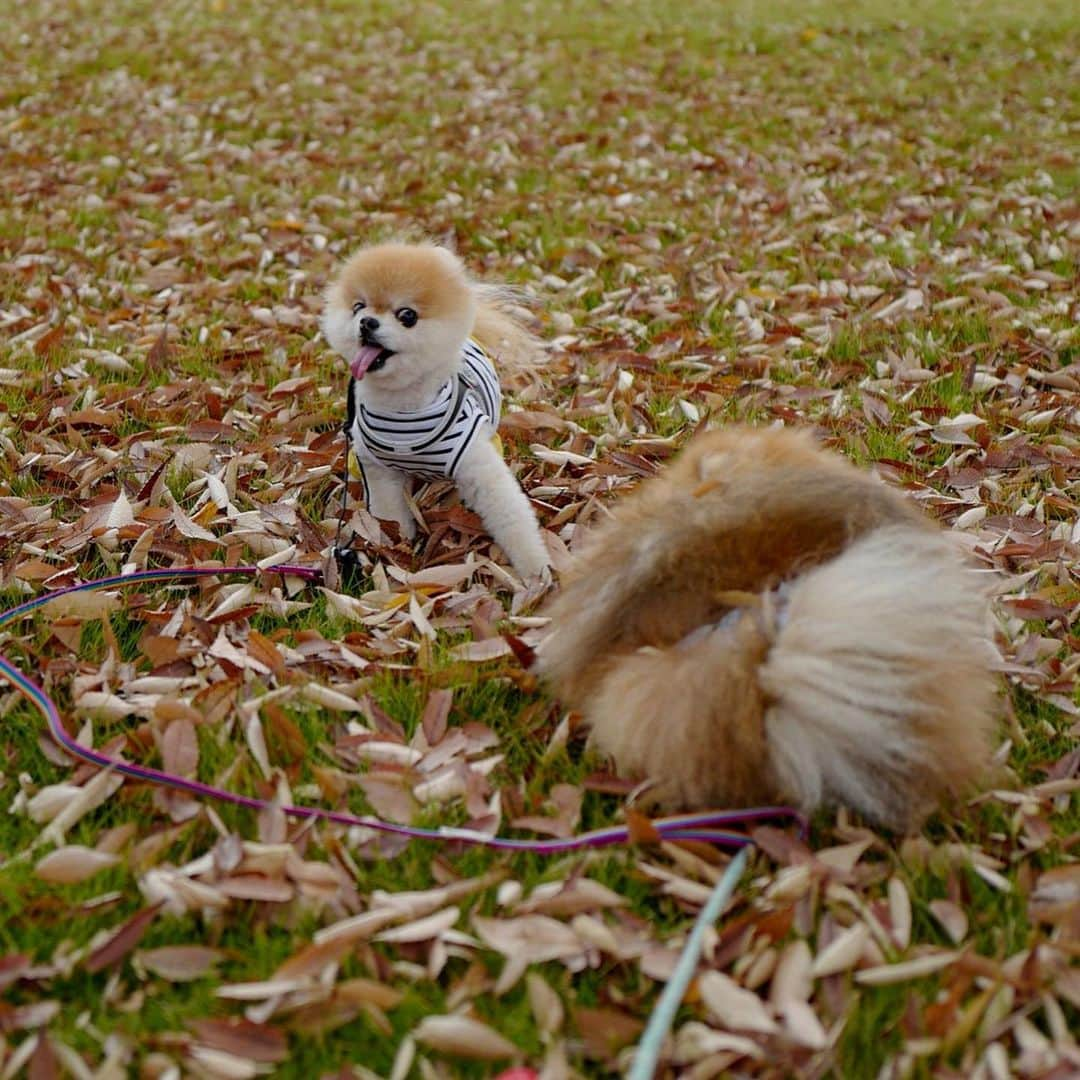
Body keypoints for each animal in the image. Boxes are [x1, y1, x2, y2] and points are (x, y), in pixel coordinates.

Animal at [319, 240, 548, 578]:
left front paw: (536, 570)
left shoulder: (476, 462)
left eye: (407, 315)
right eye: (358, 307)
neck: (404, 414)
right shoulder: (378, 469)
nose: (367, 322)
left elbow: (511, 516)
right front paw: (396, 551)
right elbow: (390, 513)